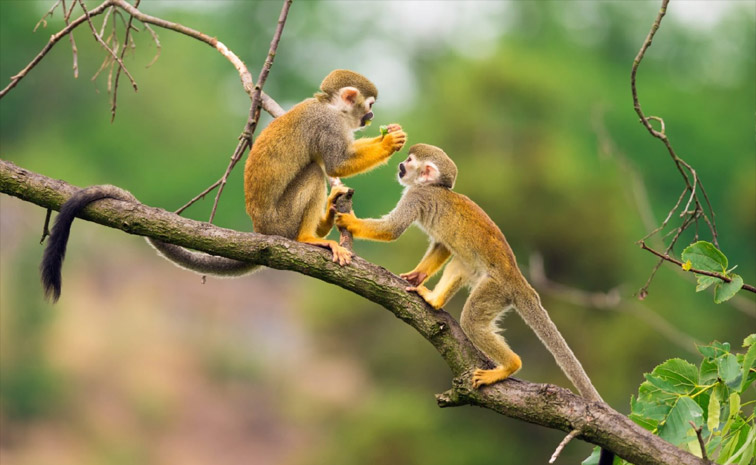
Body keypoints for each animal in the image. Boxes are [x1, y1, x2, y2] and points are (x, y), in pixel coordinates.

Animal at [40, 70, 406, 301]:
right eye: (369, 105)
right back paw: (308, 238)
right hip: (281, 221)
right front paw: (389, 143)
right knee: (314, 172)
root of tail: (261, 231)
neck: (332, 108)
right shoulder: (328, 125)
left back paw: (328, 216)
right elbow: (335, 163)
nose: (371, 118)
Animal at [334, 143, 614, 465]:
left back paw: (509, 366)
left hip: (496, 289)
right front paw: (417, 275)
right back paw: (435, 299)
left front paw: (349, 221)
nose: (400, 167)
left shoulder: (416, 197)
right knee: (461, 260)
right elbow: (442, 246)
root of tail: (519, 280)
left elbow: (393, 230)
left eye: (409, 161)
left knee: (472, 318)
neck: (434, 188)